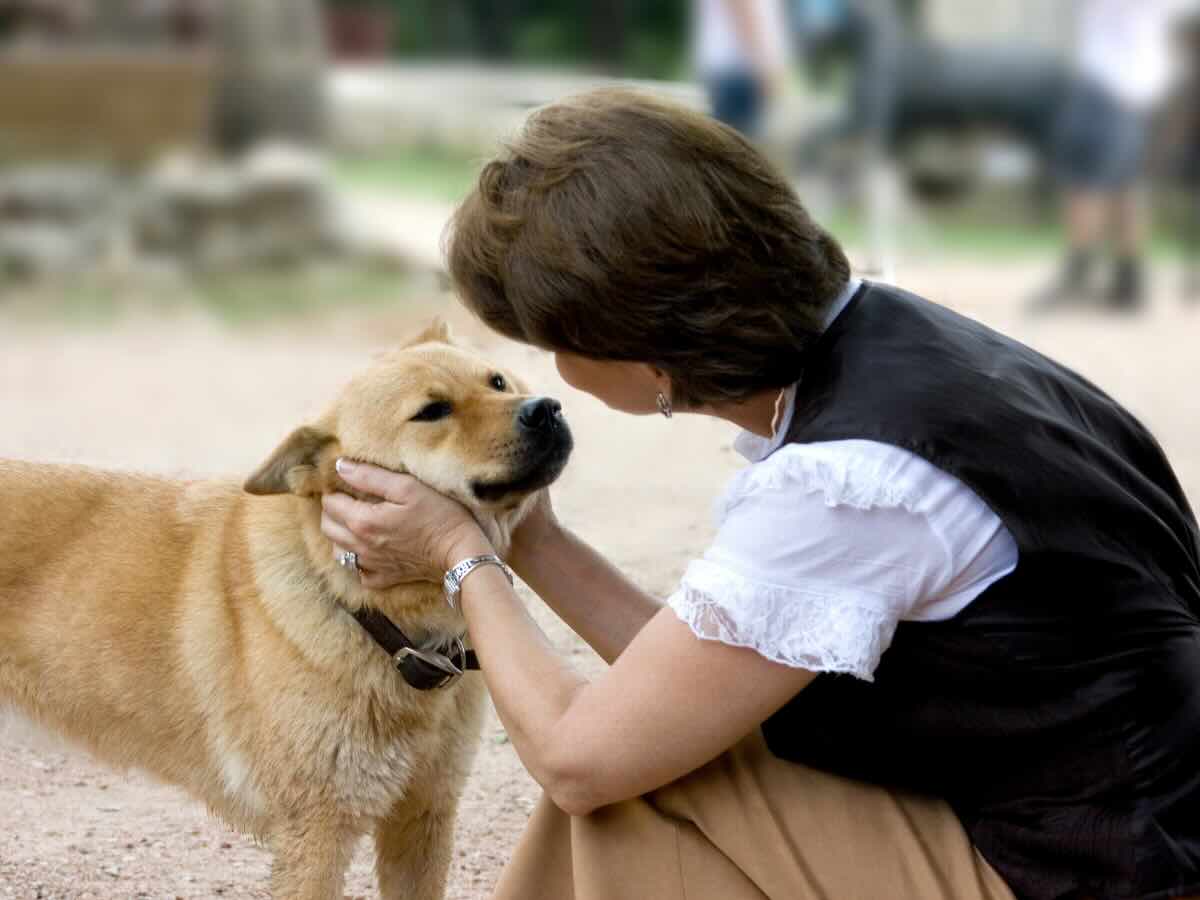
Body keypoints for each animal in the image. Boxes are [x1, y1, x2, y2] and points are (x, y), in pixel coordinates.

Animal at [0, 324, 576, 900]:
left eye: (497, 381)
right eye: (432, 411)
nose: (546, 409)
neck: (370, 613)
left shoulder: (423, 816)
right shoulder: (318, 831)